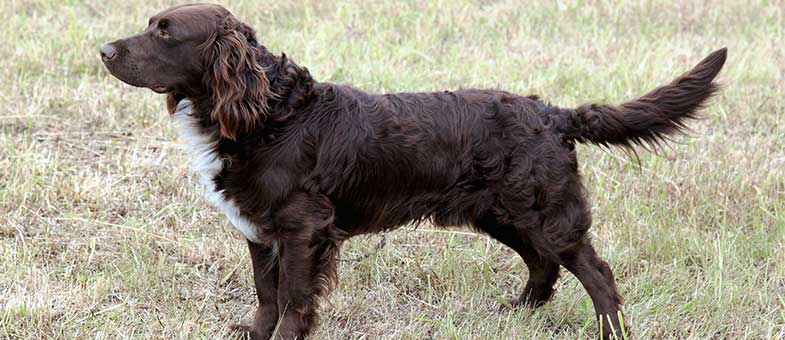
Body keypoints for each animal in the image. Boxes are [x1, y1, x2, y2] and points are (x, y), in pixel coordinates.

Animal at [99, 3, 728, 340]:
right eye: (150, 23)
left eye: (165, 32)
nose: (103, 50)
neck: (271, 113)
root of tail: (550, 112)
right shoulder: (260, 229)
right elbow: (266, 294)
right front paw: (255, 334)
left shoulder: (303, 230)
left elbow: (294, 299)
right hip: (503, 214)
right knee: (544, 265)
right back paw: (517, 312)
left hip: (545, 211)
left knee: (596, 272)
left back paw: (607, 330)